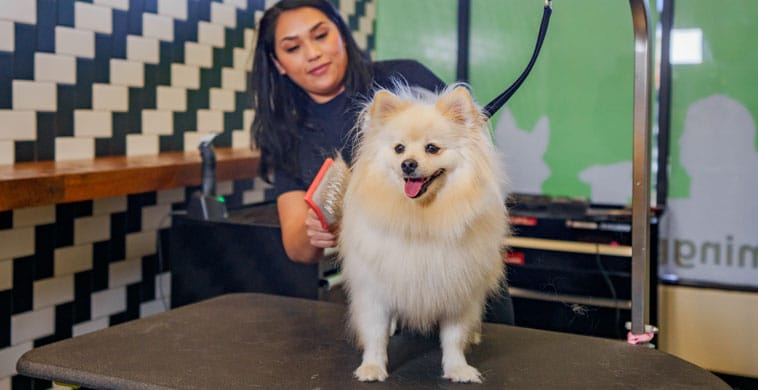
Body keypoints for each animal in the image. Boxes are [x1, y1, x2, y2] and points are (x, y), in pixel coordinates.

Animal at [338, 84, 510, 382]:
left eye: (432, 148)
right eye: (399, 148)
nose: (408, 163)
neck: (421, 218)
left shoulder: (457, 287)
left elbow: (454, 336)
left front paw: (458, 368)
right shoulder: (375, 287)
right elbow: (375, 333)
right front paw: (372, 367)